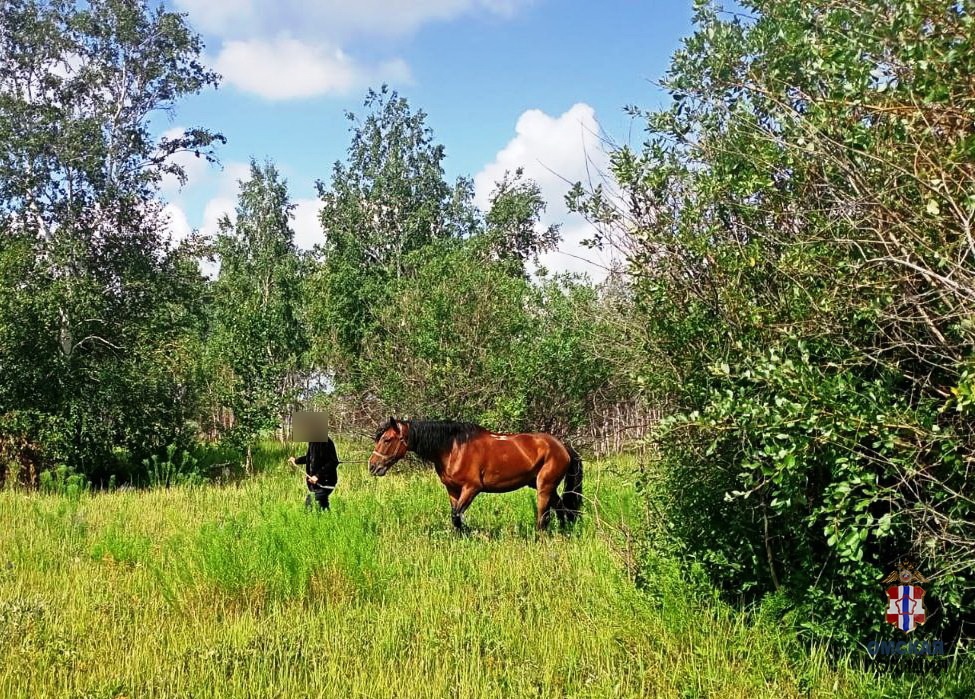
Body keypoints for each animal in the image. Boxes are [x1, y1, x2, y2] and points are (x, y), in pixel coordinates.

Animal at [366, 418, 580, 532]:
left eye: (387, 439)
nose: (373, 466)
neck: (452, 448)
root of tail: (563, 447)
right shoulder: (453, 490)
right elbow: (455, 516)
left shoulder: (472, 488)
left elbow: (457, 516)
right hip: (544, 486)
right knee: (562, 509)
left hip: (545, 487)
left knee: (543, 516)